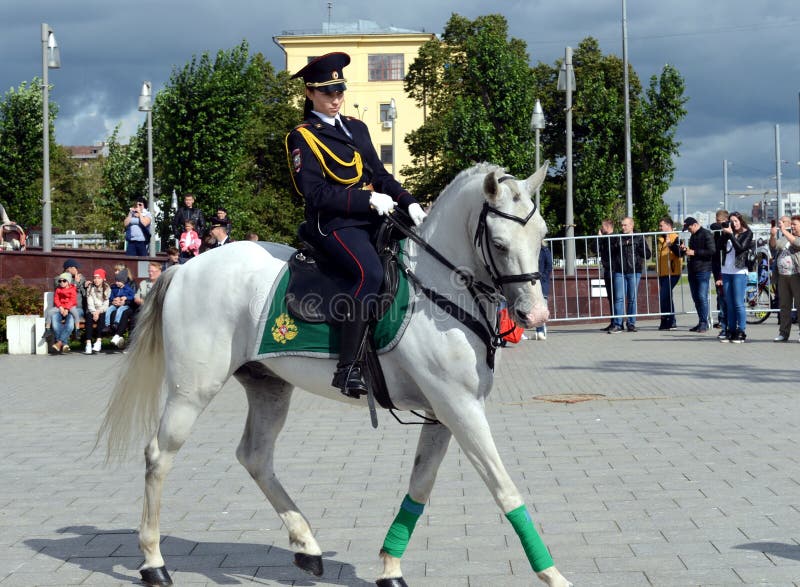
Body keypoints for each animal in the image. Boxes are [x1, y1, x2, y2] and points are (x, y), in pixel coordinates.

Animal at [100, 162, 572, 587]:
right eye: (500, 243)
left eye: (543, 234)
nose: (536, 315)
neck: (438, 290)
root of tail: (184, 268)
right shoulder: (459, 407)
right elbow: (504, 488)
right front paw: (552, 574)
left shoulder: (444, 412)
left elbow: (420, 486)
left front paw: (390, 567)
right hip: (192, 390)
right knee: (159, 456)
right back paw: (154, 562)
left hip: (269, 386)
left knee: (255, 456)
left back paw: (306, 545)